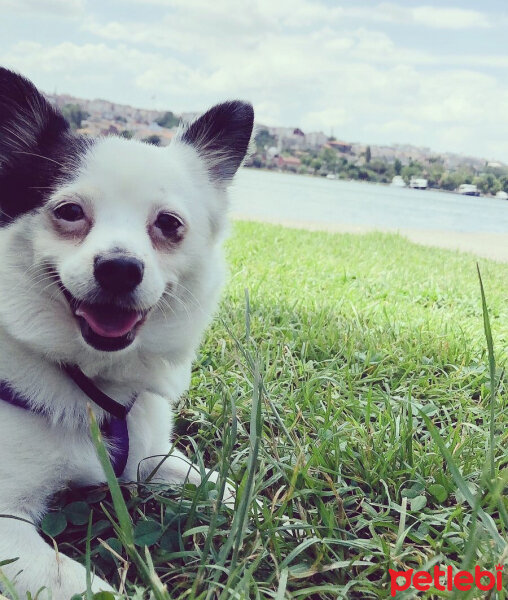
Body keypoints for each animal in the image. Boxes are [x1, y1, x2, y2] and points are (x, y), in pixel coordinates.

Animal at [0, 68, 254, 596]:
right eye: (69, 212)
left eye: (169, 224)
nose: (120, 268)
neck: (92, 381)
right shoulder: (5, 527)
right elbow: (77, 581)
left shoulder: (146, 458)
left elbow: (204, 477)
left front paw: (258, 510)